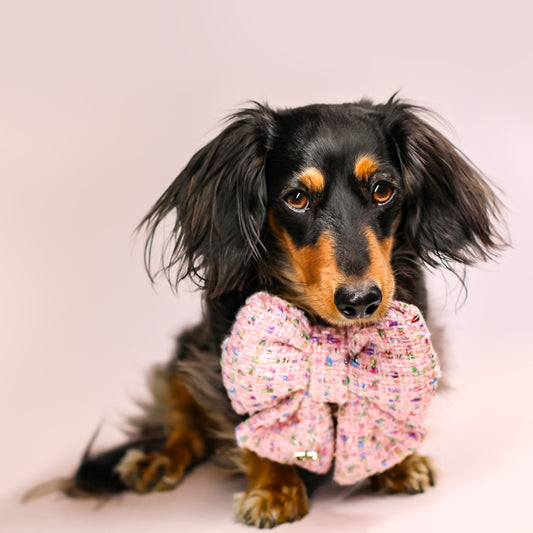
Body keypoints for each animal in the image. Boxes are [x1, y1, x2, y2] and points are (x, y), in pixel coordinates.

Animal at [52, 96, 500, 528]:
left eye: (382, 191)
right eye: (297, 199)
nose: (360, 301)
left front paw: (397, 464)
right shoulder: (232, 355)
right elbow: (261, 424)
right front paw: (275, 489)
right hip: (189, 348)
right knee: (185, 420)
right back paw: (159, 459)